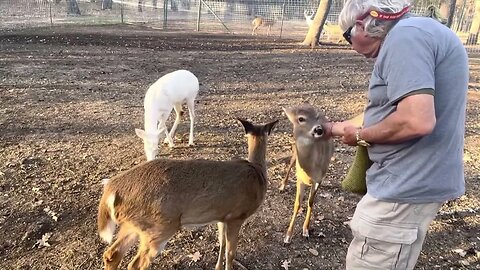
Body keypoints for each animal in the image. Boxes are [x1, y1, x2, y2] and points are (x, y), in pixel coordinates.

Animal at [96, 118, 278, 270]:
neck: (257, 172)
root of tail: (111, 188)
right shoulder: (237, 216)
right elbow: (230, 252)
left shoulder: (222, 216)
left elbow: (222, 244)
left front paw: (217, 267)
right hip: (159, 226)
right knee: (135, 264)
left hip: (133, 224)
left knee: (111, 254)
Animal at [282, 104, 334, 244]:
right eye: (301, 118)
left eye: (316, 117)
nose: (319, 129)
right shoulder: (299, 178)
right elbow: (297, 204)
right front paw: (288, 236)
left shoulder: (319, 179)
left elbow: (310, 202)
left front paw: (306, 230)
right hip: (294, 152)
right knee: (290, 163)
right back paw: (282, 186)